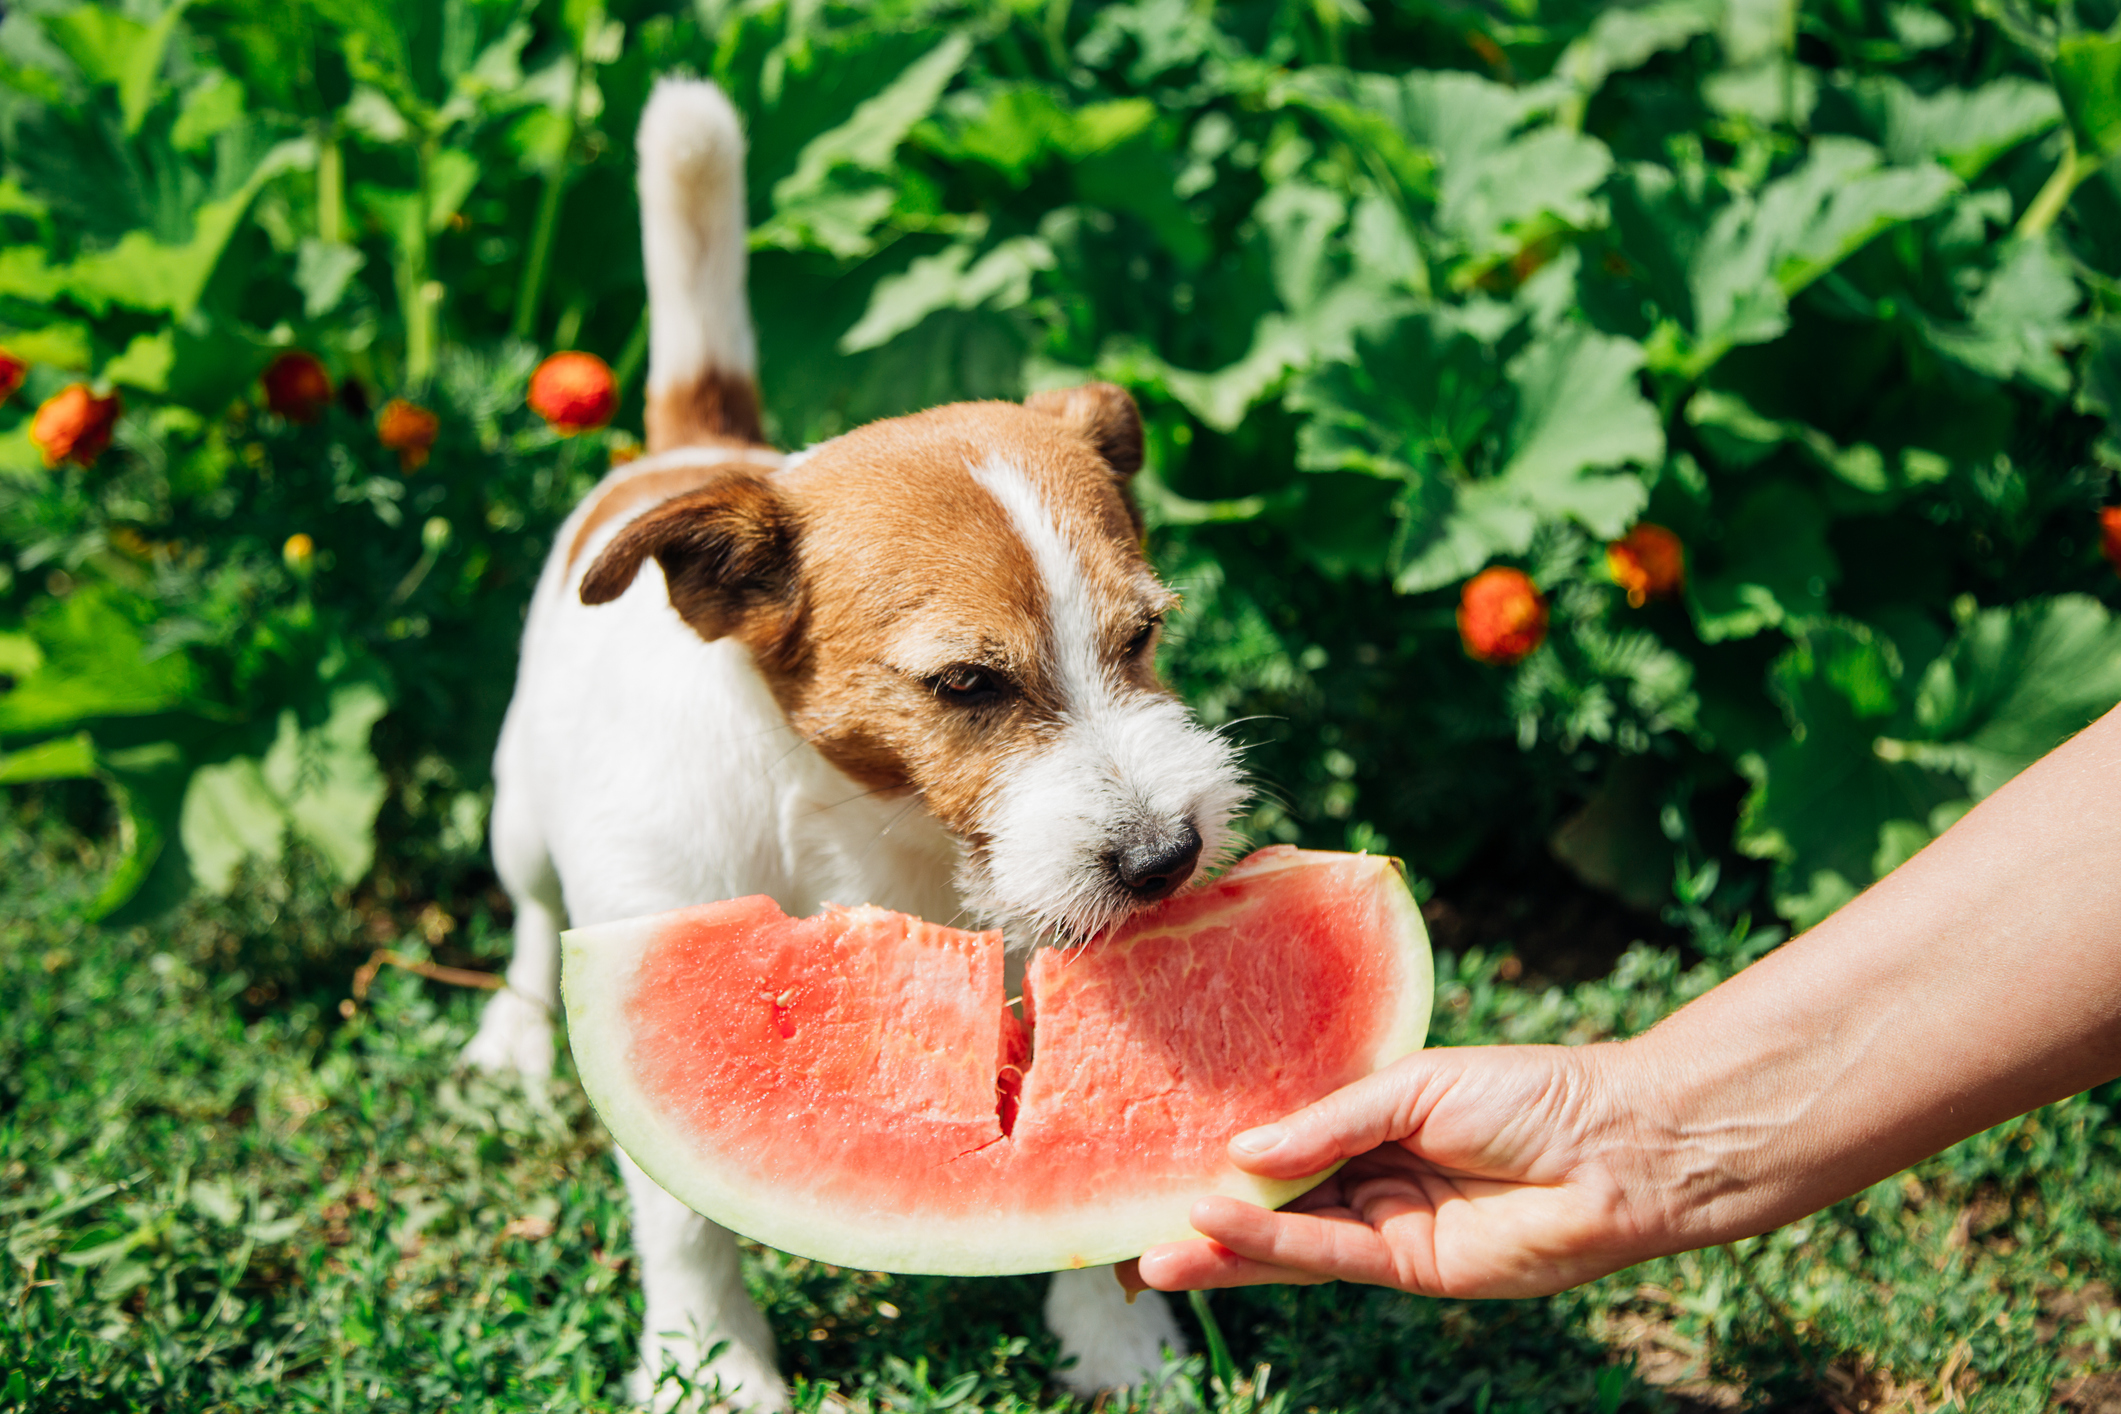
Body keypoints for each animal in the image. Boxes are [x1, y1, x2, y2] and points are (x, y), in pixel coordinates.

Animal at [456, 80, 1238, 1414]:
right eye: (967, 683)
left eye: (1143, 636)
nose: (1164, 860)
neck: (868, 826)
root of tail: (697, 448)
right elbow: (685, 1222)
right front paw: (708, 1363)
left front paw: (1114, 1339)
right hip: (518, 812)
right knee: (524, 911)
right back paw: (509, 1034)